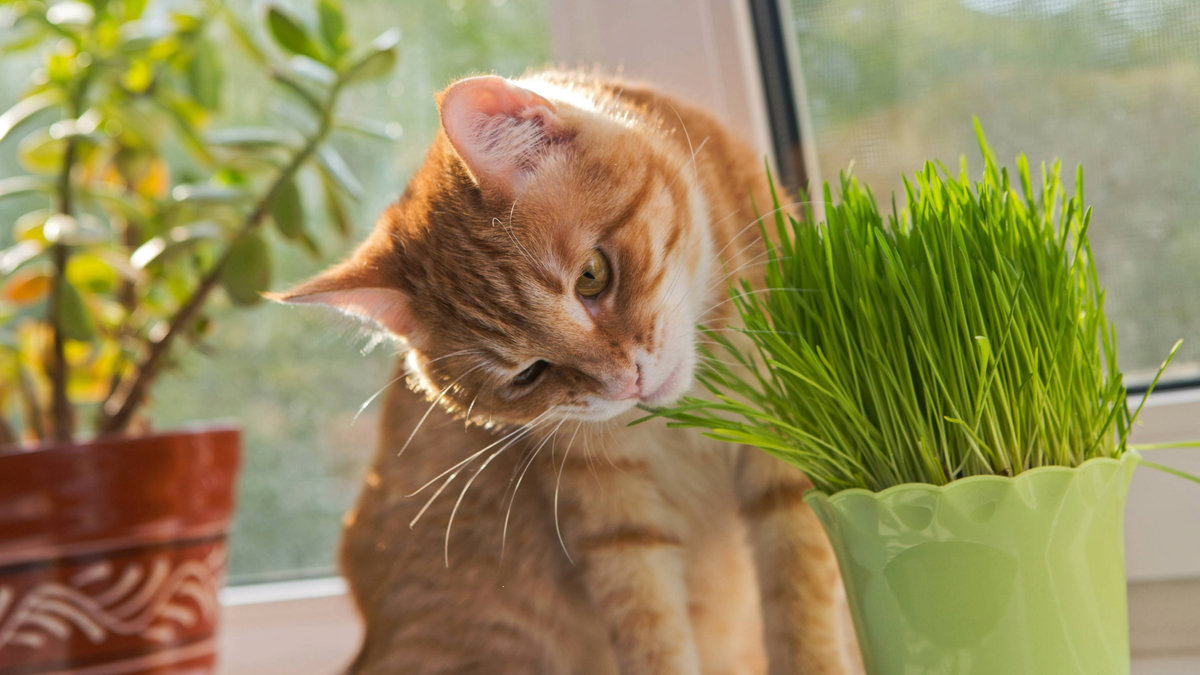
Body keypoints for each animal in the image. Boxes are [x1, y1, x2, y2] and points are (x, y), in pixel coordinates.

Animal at [278, 70, 864, 667]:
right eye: (528, 375)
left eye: (592, 276)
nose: (627, 382)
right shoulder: (613, 518)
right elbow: (651, 633)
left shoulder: (793, 445)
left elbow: (801, 602)